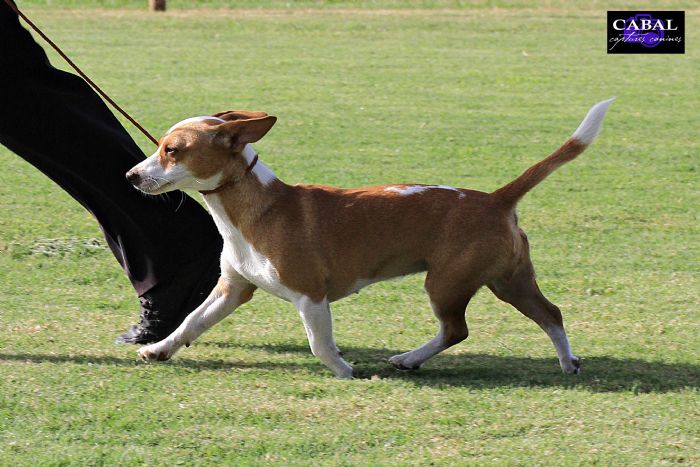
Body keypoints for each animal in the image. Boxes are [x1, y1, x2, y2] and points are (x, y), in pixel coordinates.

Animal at [126, 99, 614, 378]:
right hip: (509, 279)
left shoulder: (310, 295)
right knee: (550, 314)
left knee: (456, 329)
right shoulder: (232, 289)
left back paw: (410, 359)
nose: (130, 176)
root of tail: (495, 199)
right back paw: (567, 362)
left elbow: (319, 343)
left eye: (173, 150)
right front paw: (159, 349)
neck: (252, 209)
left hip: (447, 282)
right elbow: (192, 322)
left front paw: (343, 369)